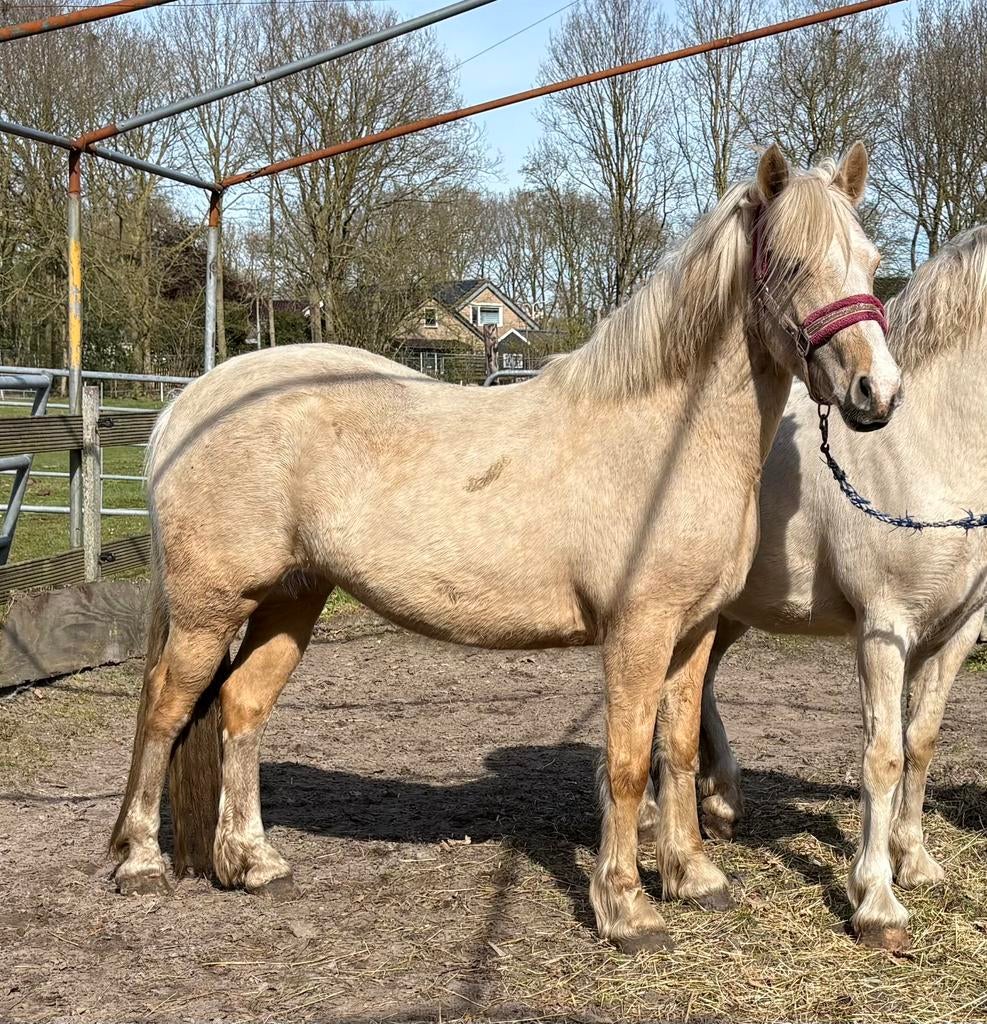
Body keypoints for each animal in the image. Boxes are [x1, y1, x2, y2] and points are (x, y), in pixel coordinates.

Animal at [110, 143, 900, 953]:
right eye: (791, 264)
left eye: (871, 262)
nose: (876, 392)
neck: (666, 439)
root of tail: (184, 407)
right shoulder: (638, 633)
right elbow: (625, 764)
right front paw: (626, 909)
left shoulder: (694, 630)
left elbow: (675, 751)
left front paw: (693, 878)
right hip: (208, 612)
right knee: (164, 710)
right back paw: (140, 861)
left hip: (291, 600)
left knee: (240, 708)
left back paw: (253, 861)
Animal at [670, 224, 987, 953]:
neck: (930, 445)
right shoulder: (884, 627)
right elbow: (882, 754)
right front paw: (876, 901)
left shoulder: (958, 629)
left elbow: (921, 741)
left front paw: (915, 862)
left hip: (728, 613)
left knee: (699, 687)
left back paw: (721, 801)